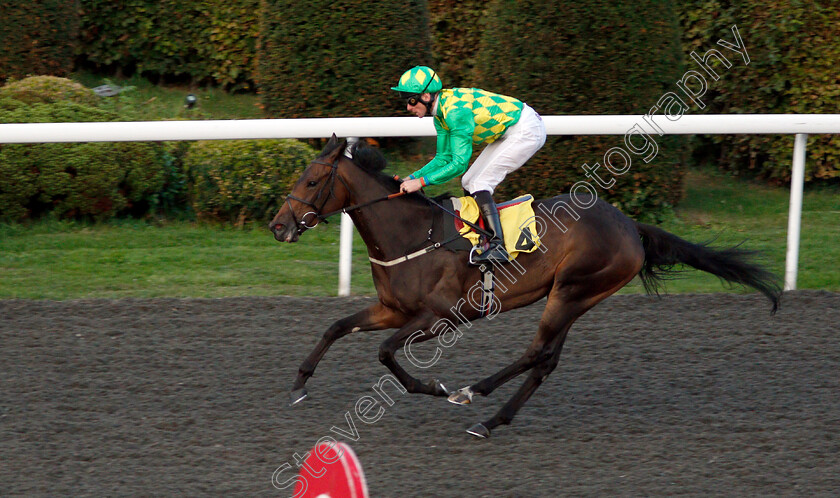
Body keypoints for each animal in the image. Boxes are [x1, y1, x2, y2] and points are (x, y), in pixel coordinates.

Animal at [270, 134, 780, 438]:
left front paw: (434, 386)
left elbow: (385, 352)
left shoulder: (441, 316)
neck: (414, 234)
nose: (278, 227)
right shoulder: (393, 309)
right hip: (577, 297)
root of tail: (630, 226)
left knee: (536, 353)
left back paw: (474, 393)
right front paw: (298, 384)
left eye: (312, 181)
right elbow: (337, 327)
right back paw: (494, 419)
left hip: (572, 291)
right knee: (546, 361)